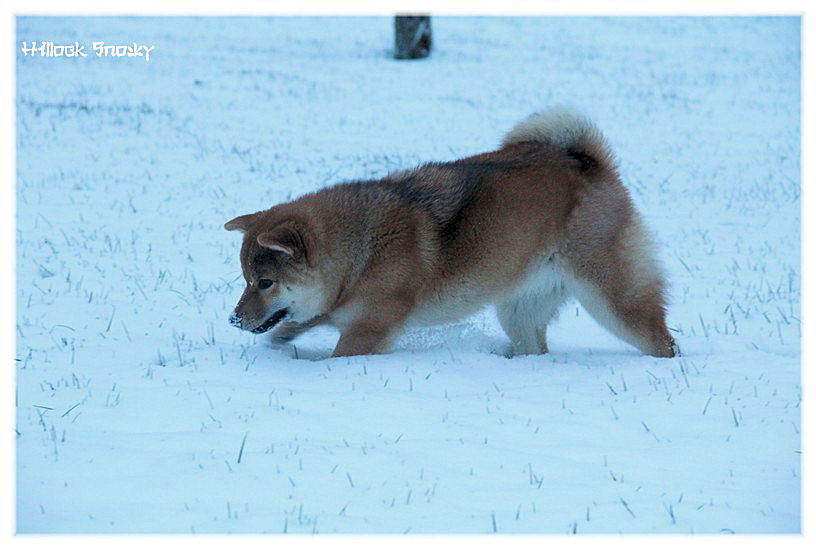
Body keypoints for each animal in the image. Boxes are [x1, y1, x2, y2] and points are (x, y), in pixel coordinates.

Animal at [226, 108, 680, 358]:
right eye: (246, 280)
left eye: (265, 282)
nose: (233, 319)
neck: (362, 249)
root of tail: (588, 164)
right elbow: (303, 321)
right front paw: (286, 337)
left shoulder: (367, 330)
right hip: (520, 311)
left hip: (616, 300)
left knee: (661, 339)